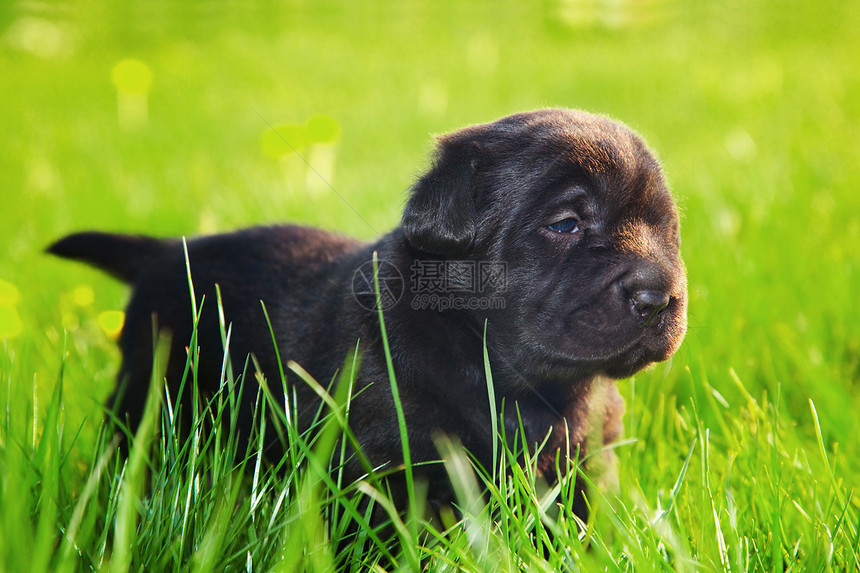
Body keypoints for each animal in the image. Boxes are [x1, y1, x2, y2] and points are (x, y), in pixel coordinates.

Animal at [50, 107, 688, 512]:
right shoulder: (386, 457)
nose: (658, 297)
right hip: (148, 402)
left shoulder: (586, 458)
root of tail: (166, 251)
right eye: (566, 224)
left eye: (666, 230)